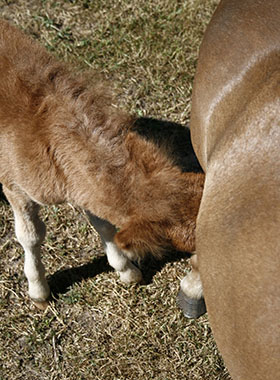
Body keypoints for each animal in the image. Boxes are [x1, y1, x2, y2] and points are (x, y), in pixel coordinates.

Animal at [0, 20, 203, 308]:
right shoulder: (14, 185)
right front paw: (38, 291)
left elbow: (103, 222)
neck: (42, 131)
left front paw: (126, 269)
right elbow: (30, 236)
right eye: (193, 248)